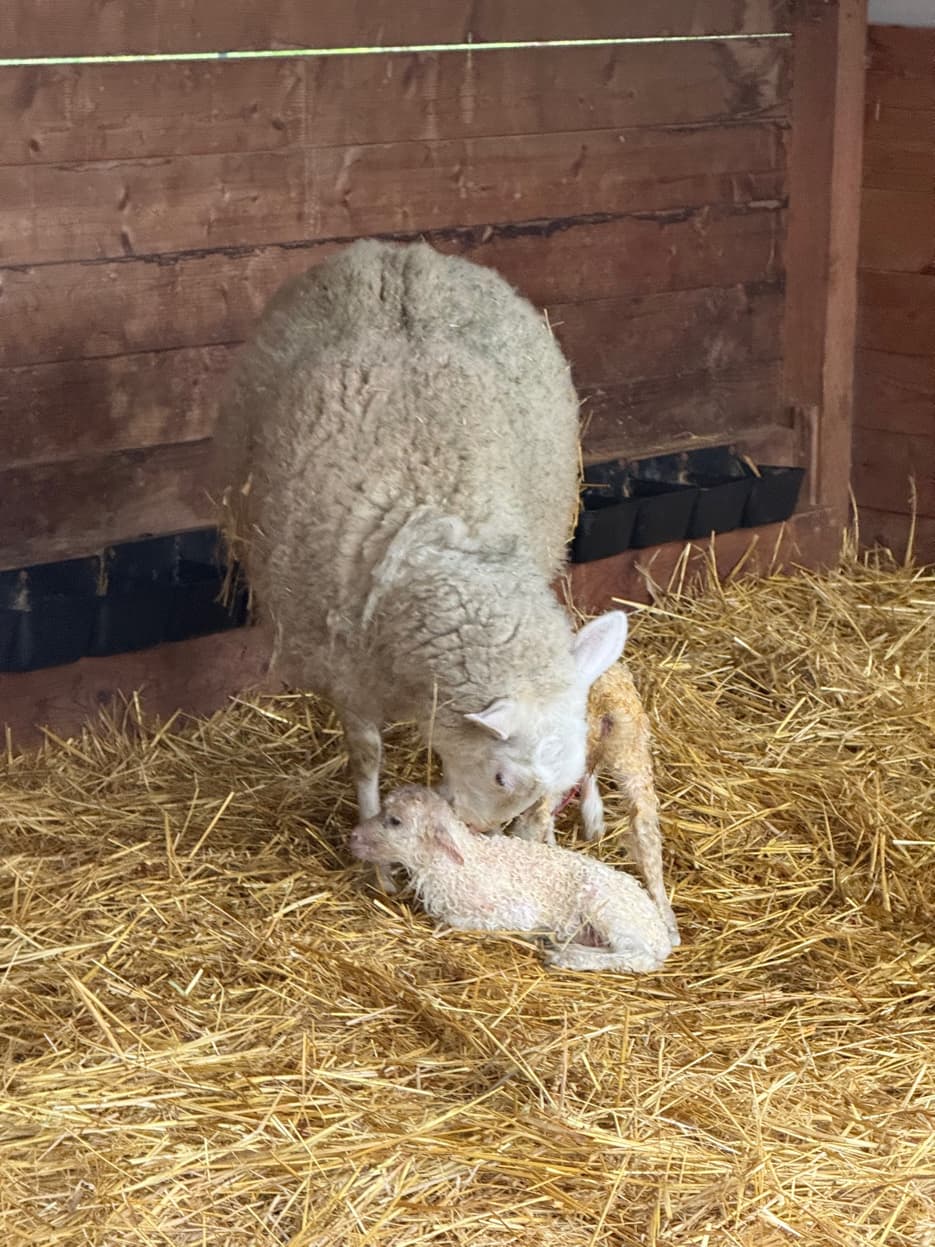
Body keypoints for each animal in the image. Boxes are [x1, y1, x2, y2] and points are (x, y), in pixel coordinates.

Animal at [212, 239, 627, 866]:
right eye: (502, 777)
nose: (481, 833)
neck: (441, 542)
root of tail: (400, 253)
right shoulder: (346, 669)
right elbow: (366, 757)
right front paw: (376, 852)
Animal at [350, 785, 673, 973]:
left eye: (395, 821)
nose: (353, 836)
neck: (455, 866)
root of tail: (658, 932)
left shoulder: (515, 910)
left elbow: (455, 921)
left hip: (609, 910)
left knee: (638, 958)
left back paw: (566, 955)